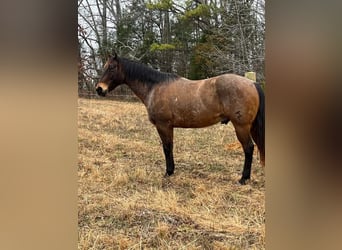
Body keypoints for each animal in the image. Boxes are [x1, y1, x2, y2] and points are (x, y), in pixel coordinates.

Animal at [95, 52, 266, 185]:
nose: (99, 89)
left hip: (241, 126)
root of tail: (252, 83)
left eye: (112, 67)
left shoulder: (163, 126)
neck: (155, 87)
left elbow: (167, 148)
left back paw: (243, 179)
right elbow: (169, 147)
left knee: (249, 148)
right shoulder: (168, 127)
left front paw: (168, 172)